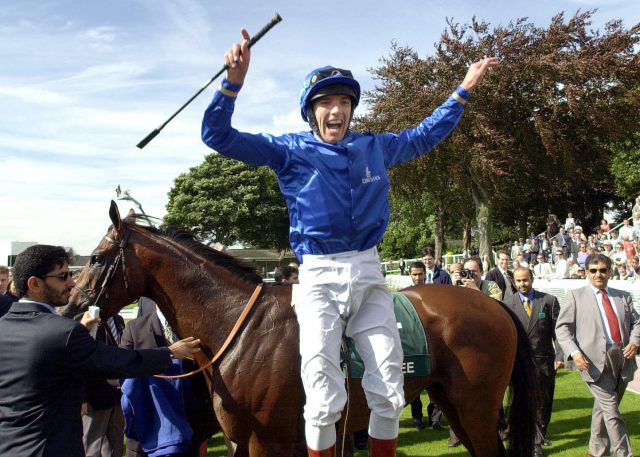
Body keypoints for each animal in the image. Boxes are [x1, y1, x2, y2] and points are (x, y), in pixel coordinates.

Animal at [66, 203, 536, 456]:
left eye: (97, 258)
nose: (72, 307)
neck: (238, 326)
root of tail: (494, 303)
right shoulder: (245, 438)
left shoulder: (267, 438)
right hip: (453, 403)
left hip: (475, 406)